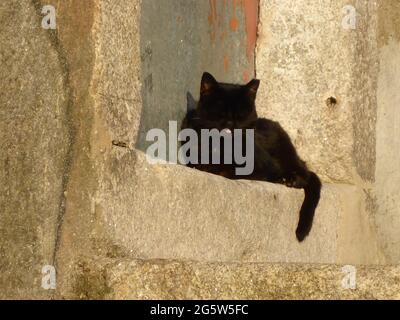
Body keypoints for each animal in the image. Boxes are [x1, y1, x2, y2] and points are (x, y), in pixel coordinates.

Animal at [181, 72, 322, 241]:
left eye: (241, 114)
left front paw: (217, 169)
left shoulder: (263, 169)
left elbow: (231, 170)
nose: (230, 123)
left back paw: (290, 179)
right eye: (219, 111)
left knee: (305, 174)